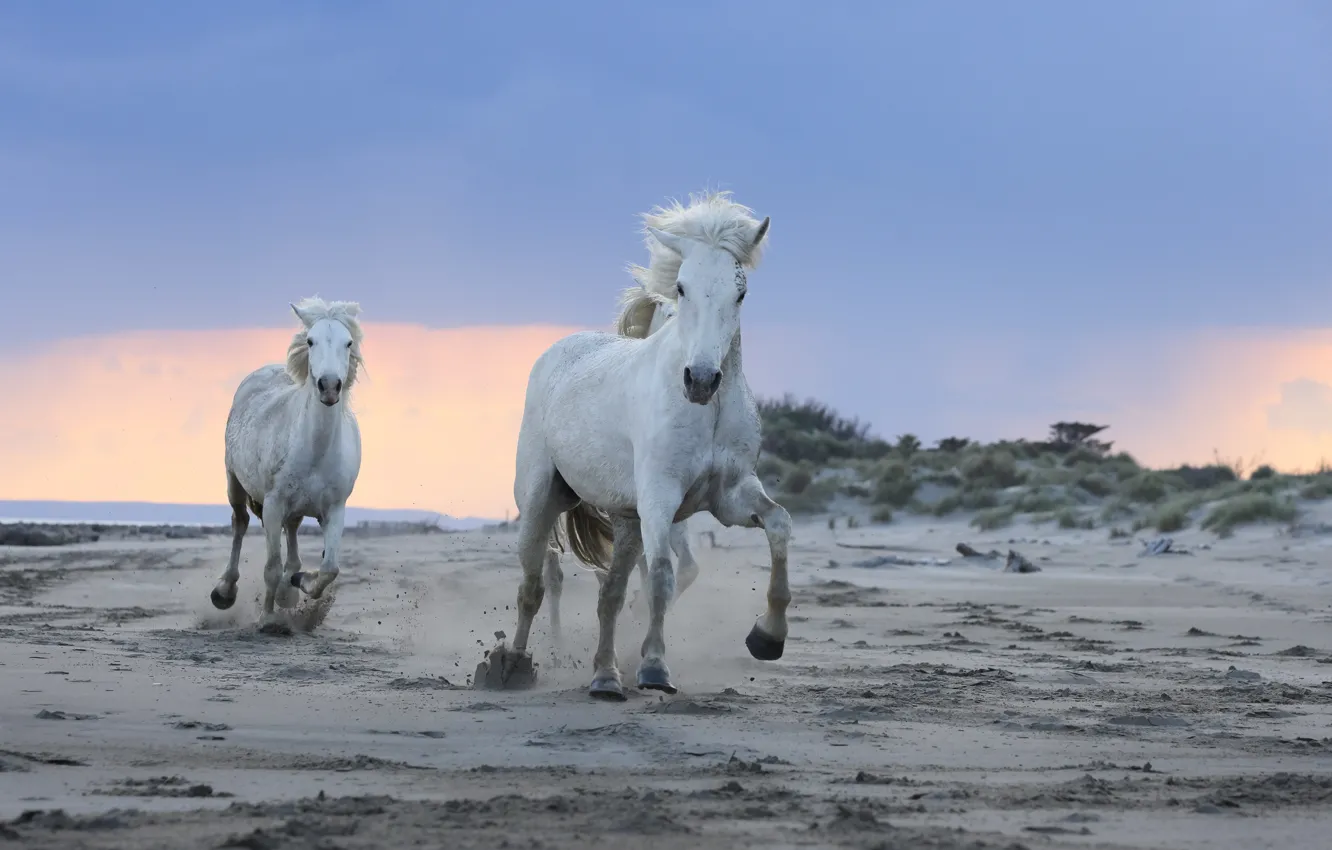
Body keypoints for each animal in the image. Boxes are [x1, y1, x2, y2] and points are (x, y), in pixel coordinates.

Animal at [209, 297, 365, 625]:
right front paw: (267, 619)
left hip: (296, 507)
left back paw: (289, 587)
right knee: (240, 524)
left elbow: (330, 569)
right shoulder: (273, 504)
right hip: (234, 482)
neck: (316, 450)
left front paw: (298, 583)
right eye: (310, 340)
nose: (329, 386)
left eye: (348, 342)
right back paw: (225, 591)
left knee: (291, 533)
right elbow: (271, 566)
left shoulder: (335, 509)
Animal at [476, 190, 791, 700]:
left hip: (626, 521)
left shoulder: (731, 495)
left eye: (740, 292)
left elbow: (779, 526)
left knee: (610, 594)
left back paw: (605, 676)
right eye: (681, 287)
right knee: (533, 585)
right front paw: (655, 669)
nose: (701, 380)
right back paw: (514, 666)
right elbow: (661, 575)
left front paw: (767, 637)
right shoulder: (660, 497)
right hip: (541, 501)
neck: (708, 412)